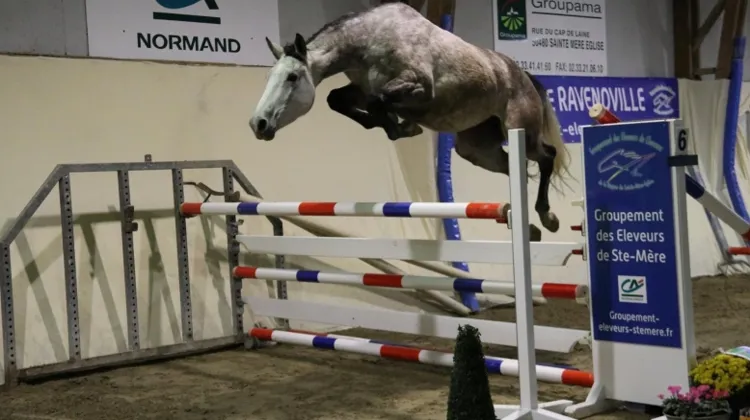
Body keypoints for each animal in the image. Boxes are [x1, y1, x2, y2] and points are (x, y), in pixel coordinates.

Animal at [248, 2, 572, 238]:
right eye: (269, 76)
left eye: (292, 77)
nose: (258, 124)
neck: (368, 41)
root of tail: (524, 76)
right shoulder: (361, 89)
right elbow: (337, 100)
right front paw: (397, 126)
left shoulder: (418, 87)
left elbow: (380, 102)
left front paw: (403, 126)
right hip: (476, 149)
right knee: (515, 169)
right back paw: (528, 226)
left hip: (521, 131)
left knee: (546, 156)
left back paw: (548, 217)